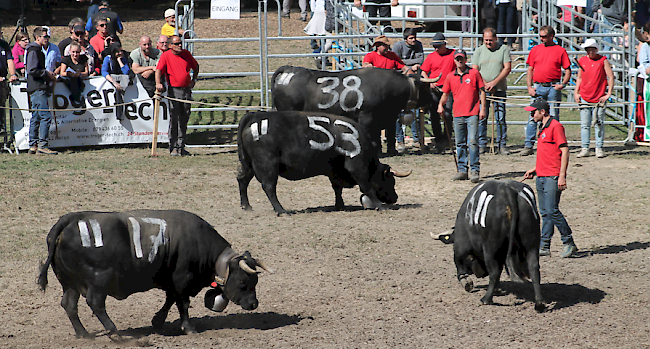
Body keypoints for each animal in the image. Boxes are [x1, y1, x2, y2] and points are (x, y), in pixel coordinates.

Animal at [38, 209, 270, 338]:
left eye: (256, 281)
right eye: (243, 282)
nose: (254, 304)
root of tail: (70, 220)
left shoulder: (171, 282)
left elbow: (170, 300)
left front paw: (157, 321)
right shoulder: (182, 280)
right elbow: (182, 304)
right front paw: (188, 328)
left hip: (70, 284)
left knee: (69, 305)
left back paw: (83, 333)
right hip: (98, 281)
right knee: (96, 304)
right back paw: (115, 332)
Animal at [238, 111, 410, 215]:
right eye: (391, 181)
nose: (395, 198)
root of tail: (255, 116)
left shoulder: (334, 171)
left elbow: (337, 188)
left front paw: (339, 206)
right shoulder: (357, 165)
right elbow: (366, 187)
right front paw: (380, 206)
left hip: (249, 164)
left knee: (242, 180)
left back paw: (246, 206)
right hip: (267, 165)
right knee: (269, 187)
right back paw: (281, 210)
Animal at [438, 179, 544, 310]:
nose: (480, 274)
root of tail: (507, 190)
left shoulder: (461, 245)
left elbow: (459, 261)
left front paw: (465, 281)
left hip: (490, 247)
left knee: (494, 272)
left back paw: (486, 299)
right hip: (531, 244)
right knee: (534, 268)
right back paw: (539, 303)